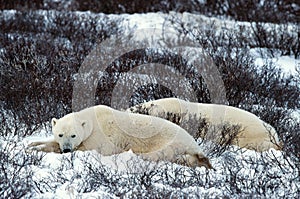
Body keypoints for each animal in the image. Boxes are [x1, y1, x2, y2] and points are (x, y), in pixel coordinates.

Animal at [26, 105, 213, 169]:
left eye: (73, 135)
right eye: (60, 134)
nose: (66, 149)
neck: (92, 120)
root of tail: (195, 145)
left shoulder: (103, 137)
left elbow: (90, 148)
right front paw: (32, 144)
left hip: (171, 142)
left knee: (158, 154)